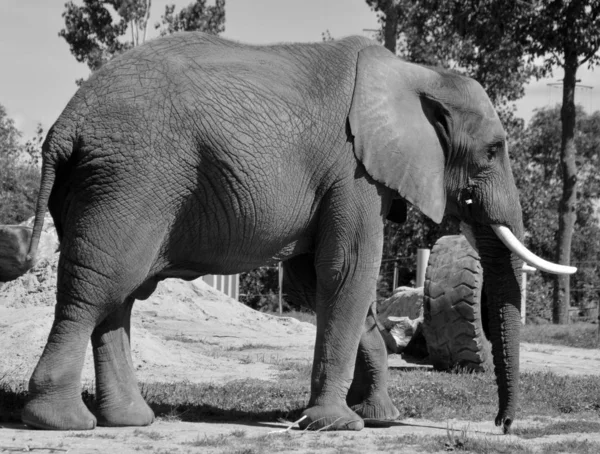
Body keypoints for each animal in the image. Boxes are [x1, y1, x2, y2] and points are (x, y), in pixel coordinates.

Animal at [7, 32, 576, 432]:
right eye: (494, 151)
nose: (502, 424)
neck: (416, 73)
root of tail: (64, 125)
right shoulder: (353, 169)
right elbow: (347, 270)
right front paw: (339, 425)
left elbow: (320, 280)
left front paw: (379, 418)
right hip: (131, 176)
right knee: (99, 286)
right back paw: (63, 422)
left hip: (110, 183)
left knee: (118, 296)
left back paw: (130, 421)